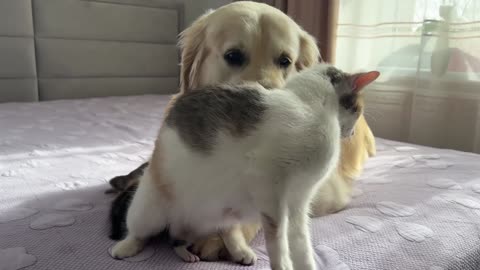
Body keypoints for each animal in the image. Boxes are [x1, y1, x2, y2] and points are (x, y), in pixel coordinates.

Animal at [109, 0, 376, 264]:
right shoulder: (267, 185)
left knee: (189, 234)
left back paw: (211, 250)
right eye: (233, 56)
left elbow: (300, 242)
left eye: (286, 61)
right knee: (141, 231)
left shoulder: (300, 201)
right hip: (149, 209)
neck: (312, 106)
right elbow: (277, 239)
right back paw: (125, 247)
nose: (352, 133)